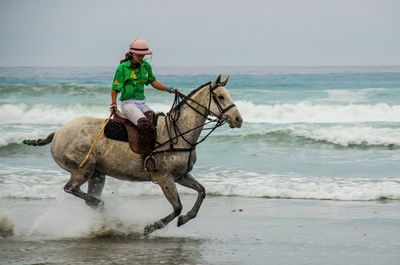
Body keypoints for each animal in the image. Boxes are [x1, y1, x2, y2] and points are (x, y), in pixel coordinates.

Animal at [26, 74, 244, 233]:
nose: (238, 119)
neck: (179, 132)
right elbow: (177, 207)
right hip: (83, 170)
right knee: (71, 188)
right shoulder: (165, 178)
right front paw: (152, 226)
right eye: (221, 96)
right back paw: (107, 209)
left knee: (87, 198)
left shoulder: (181, 175)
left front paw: (185, 219)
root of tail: (57, 133)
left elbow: (202, 192)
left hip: (97, 174)